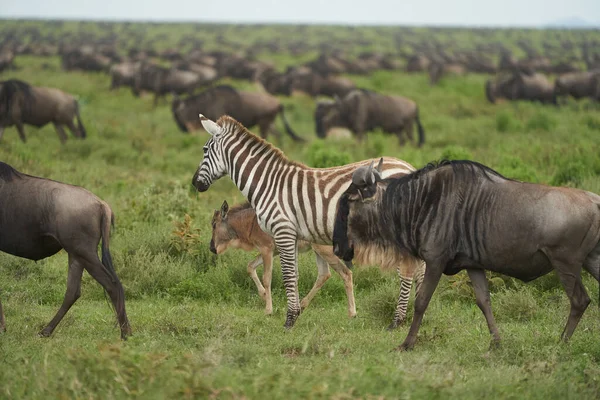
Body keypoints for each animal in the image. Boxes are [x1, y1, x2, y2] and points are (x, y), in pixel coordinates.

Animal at [0, 161, 131, 340]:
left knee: (112, 285)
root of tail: (101, 204)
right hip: (76, 256)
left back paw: (125, 334)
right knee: (73, 291)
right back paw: (46, 331)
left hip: (84, 253)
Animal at [192, 113, 422, 328]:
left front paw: (288, 319)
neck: (269, 183)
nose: (195, 183)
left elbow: (285, 276)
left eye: (204, 150)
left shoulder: (282, 232)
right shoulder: (290, 237)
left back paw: (398, 320)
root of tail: (409, 167)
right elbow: (294, 275)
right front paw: (294, 314)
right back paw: (416, 314)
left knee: (407, 271)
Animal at [332, 159, 600, 350]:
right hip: (592, 261)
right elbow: (484, 302)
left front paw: (406, 344)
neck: (424, 201)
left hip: (566, 264)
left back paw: (561, 343)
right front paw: (496, 343)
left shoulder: (435, 261)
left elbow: (421, 301)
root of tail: (595, 201)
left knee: (580, 300)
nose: (336, 248)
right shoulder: (473, 265)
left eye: (350, 200)